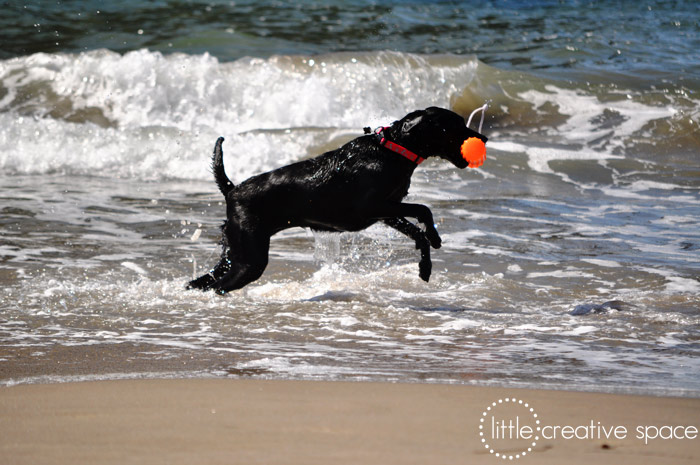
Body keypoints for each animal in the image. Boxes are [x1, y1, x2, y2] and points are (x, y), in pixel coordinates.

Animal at [189, 106, 490, 292]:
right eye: (457, 125)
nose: (484, 137)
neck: (392, 149)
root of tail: (233, 190)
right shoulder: (373, 207)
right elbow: (422, 209)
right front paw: (430, 254)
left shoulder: (386, 212)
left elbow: (418, 228)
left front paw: (429, 253)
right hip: (250, 259)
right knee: (218, 286)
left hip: (234, 252)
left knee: (203, 281)